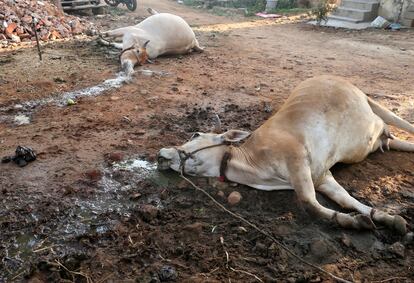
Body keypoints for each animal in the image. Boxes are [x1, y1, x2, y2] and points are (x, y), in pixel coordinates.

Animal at [158, 75, 414, 235]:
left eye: (195, 133)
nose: (161, 153)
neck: (252, 163)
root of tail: (345, 81)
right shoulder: (321, 176)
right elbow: (346, 199)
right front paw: (382, 217)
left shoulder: (297, 159)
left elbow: (309, 203)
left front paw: (353, 221)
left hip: (367, 125)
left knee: (387, 123)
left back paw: (387, 129)